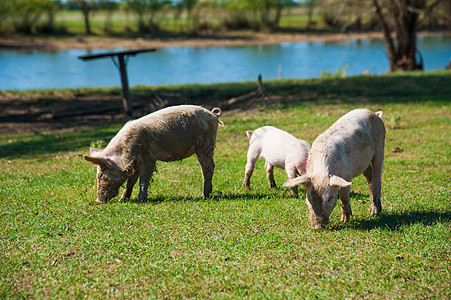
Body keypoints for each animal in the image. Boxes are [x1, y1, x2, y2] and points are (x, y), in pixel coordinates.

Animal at [83, 104, 224, 203]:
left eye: (101, 175)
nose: (98, 201)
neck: (124, 151)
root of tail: (213, 114)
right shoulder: (135, 163)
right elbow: (131, 182)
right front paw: (123, 199)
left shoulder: (147, 159)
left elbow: (143, 180)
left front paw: (141, 200)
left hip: (206, 145)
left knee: (208, 168)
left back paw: (204, 196)